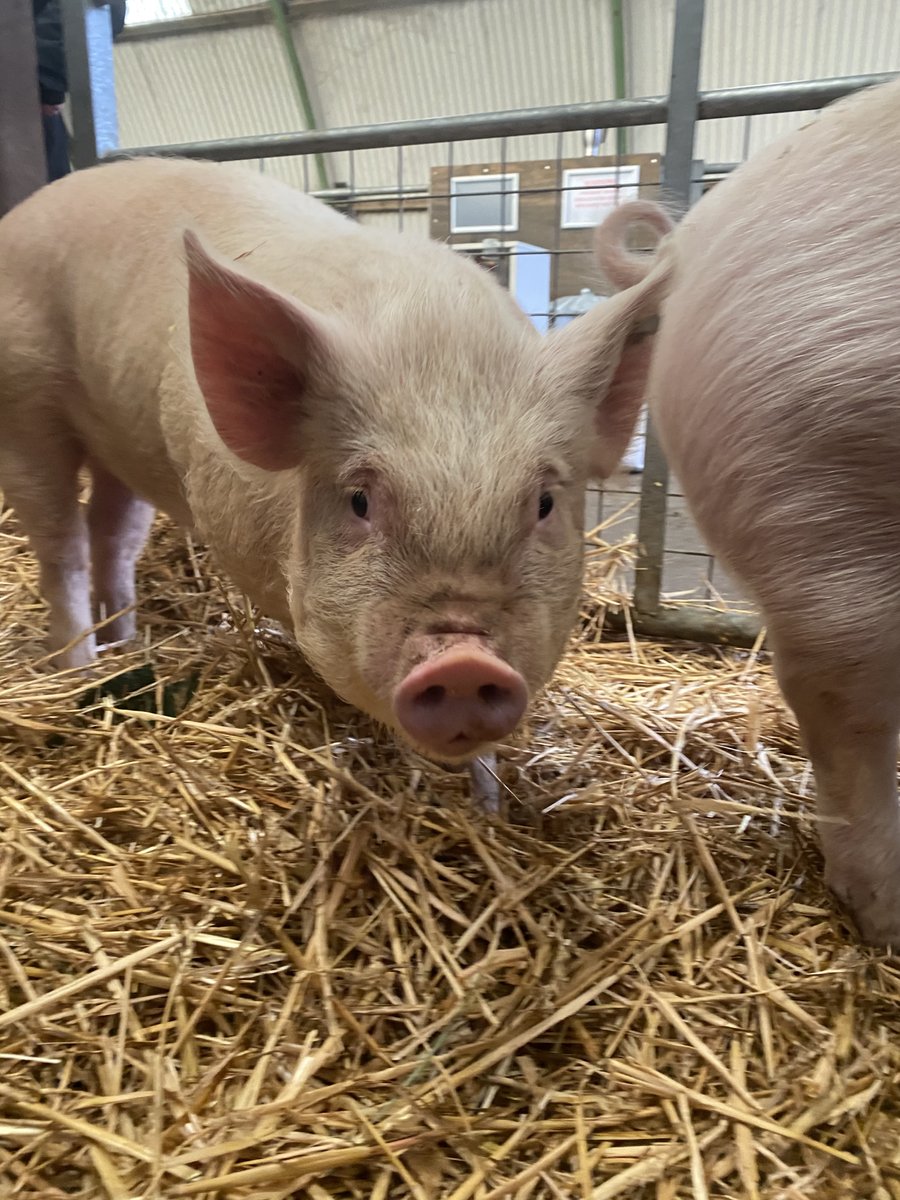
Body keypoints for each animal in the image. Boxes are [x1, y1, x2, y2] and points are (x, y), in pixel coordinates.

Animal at [0, 156, 669, 775]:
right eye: (360, 500)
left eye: (545, 504)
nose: (462, 661)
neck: (439, 343)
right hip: (26, 410)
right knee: (62, 545)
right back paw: (78, 668)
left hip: (116, 443)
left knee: (110, 532)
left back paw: (125, 642)